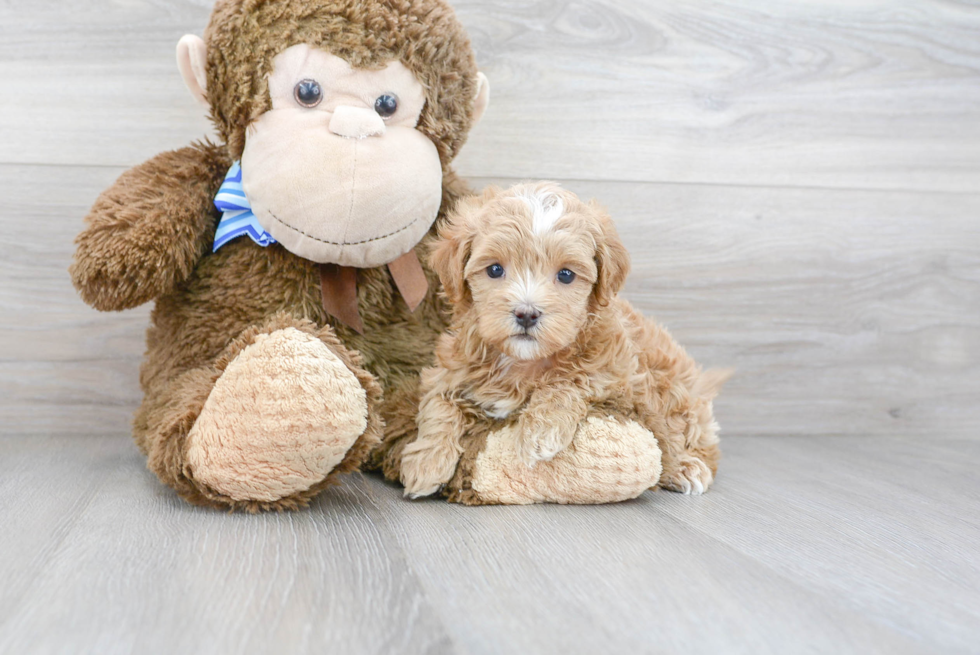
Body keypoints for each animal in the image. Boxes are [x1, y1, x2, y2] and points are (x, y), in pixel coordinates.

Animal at [398, 182, 728, 500]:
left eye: (566, 275)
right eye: (494, 269)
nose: (527, 314)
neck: (523, 361)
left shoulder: (616, 375)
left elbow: (570, 380)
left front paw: (540, 431)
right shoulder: (450, 369)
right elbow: (438, 404)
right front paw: (424, 463)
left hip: (674, 386)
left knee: (684, 434)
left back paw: (686, 467)